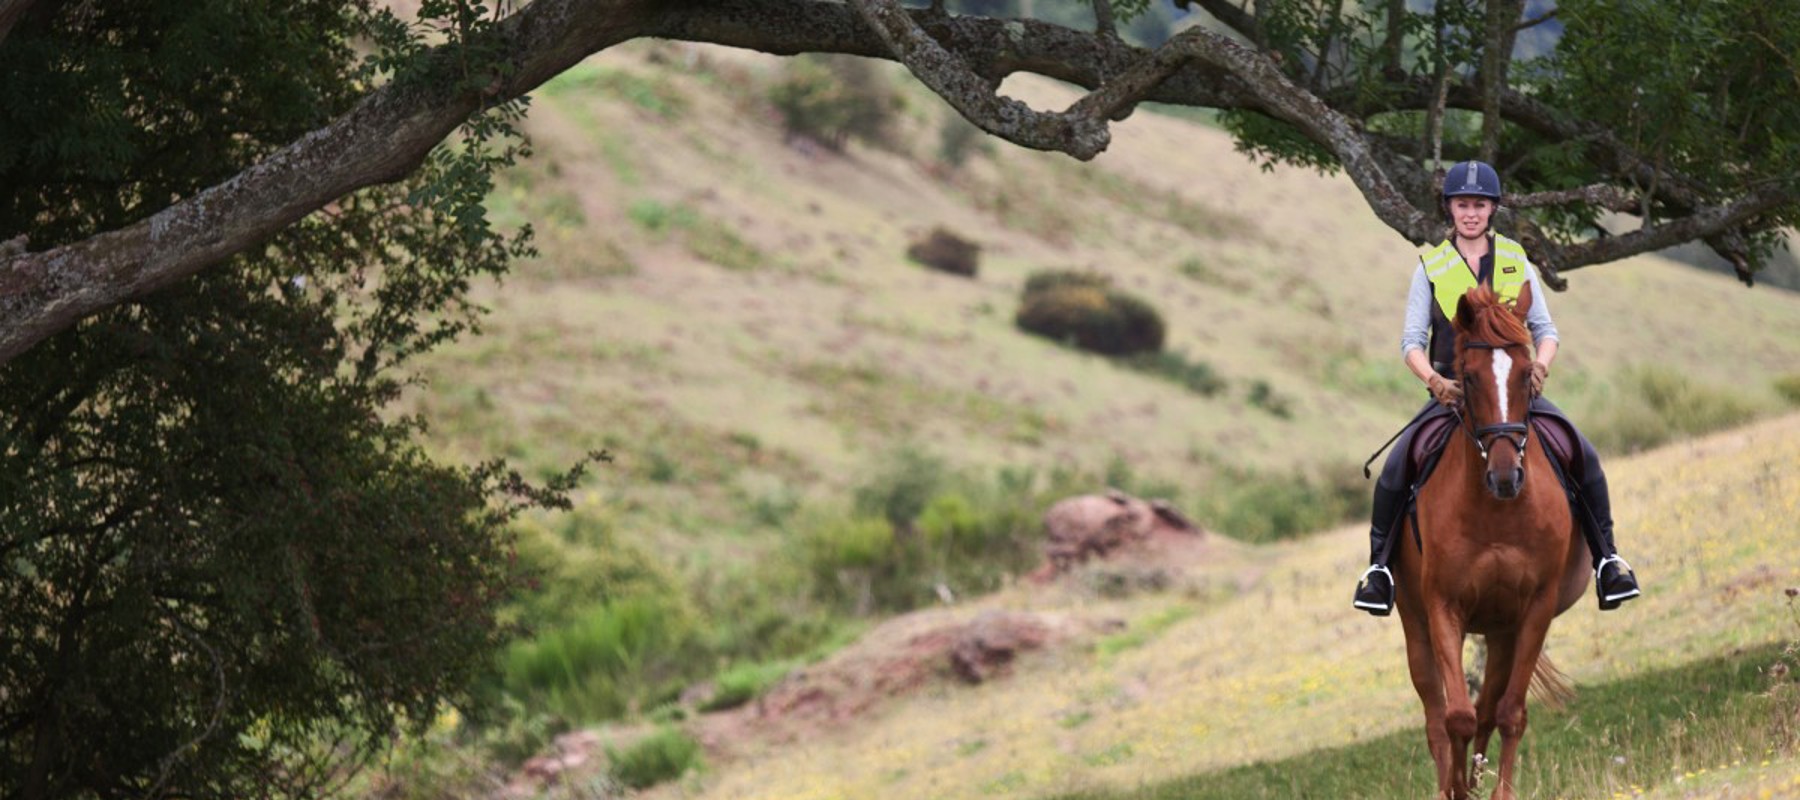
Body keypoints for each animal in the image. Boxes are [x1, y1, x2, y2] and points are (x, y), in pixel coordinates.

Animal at [1390, 282, 1594, 800]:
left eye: (1525, 374)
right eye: (1468, 377)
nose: (1506, 476)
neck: (1497, 512)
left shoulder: (1533, 609)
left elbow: (1508, 714)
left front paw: (1495, 790)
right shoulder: (1444, 608)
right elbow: (1456, 718)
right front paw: (1456, 789)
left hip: (1502, 631)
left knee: (1488, 710)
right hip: (1416, 625)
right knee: (1436, 719)